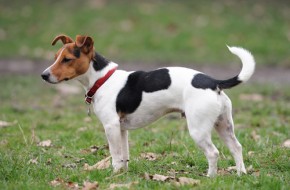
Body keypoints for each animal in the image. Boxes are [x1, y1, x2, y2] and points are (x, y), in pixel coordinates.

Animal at [42, 34, 255, 177]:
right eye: (55, 57)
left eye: (67, 59)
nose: (44, 75)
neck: (103, 79)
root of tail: (214, 82)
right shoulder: (121, 129)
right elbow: (124, 155)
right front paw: (123, 175)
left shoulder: (110, 127)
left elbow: (115, 155)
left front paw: (113, 175)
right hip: (223, 125)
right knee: (236, 148)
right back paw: (241, 174)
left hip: (199, 129)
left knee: (213, 153)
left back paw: (210, 177)